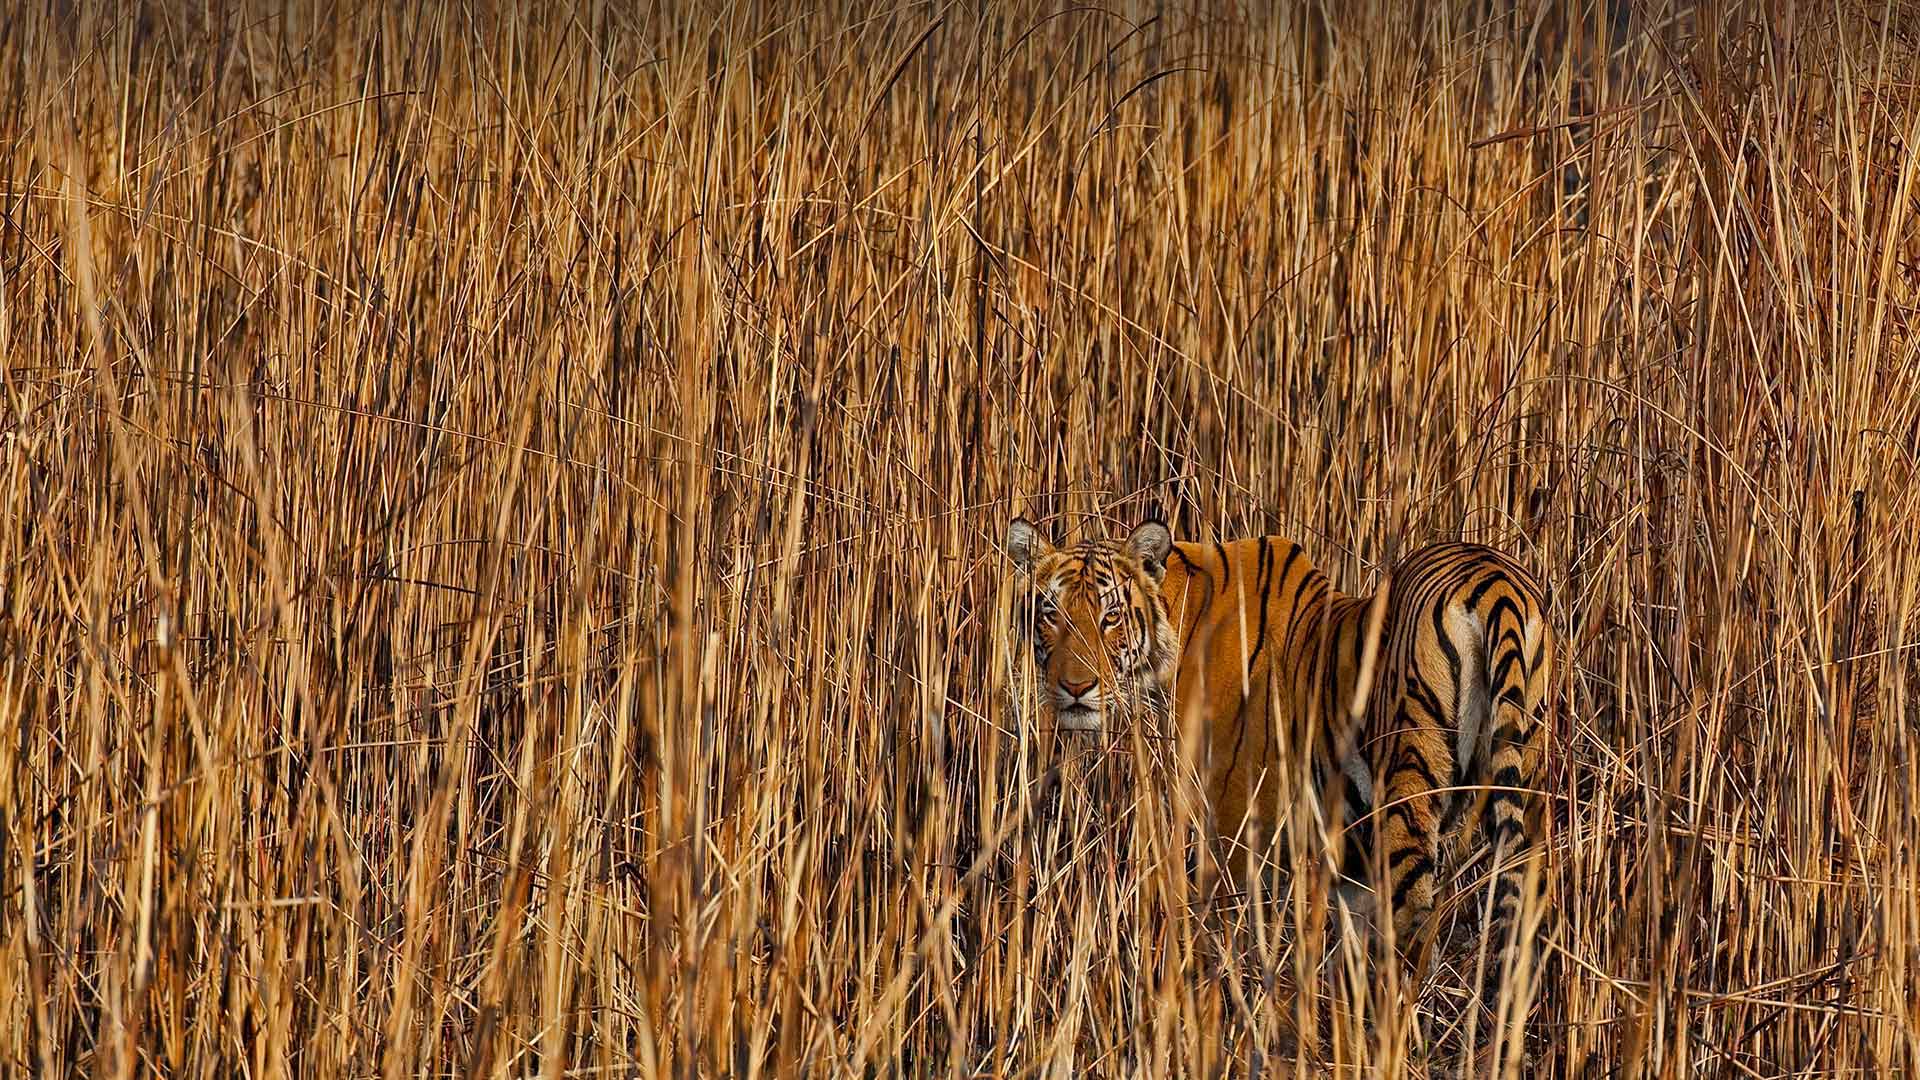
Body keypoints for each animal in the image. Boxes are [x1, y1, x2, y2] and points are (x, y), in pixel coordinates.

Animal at [1006, 511, 1559, 968]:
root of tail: (1495, 582)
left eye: (1111, 617)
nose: (1076, 688)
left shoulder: (1239, 827)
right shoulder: (1348, 858)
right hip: (1528, 795)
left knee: (1413, 930)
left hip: (1407, 792)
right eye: (1052, 613)